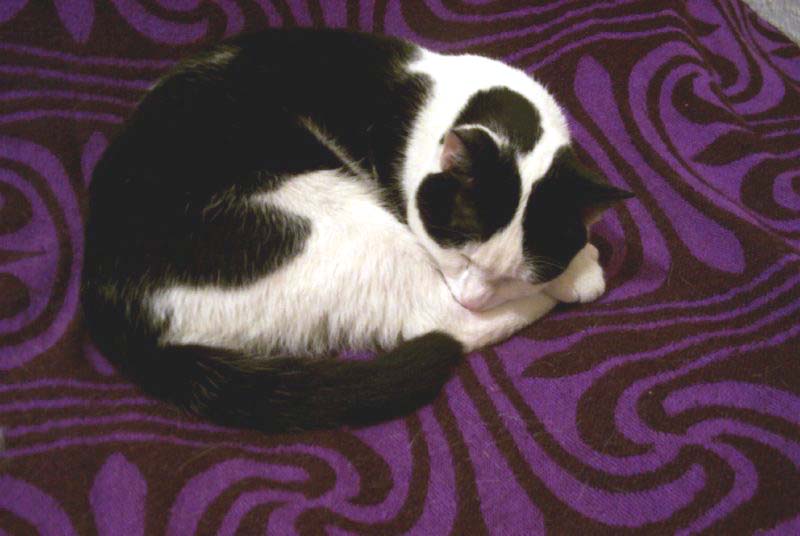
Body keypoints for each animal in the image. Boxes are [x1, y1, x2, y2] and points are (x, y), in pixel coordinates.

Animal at [81, 28, 633, 433]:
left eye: (516, 272)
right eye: (459, 253)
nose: (477, 296)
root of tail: (109, 302)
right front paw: (576, 273)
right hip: (334, 220)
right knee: (441, 323)